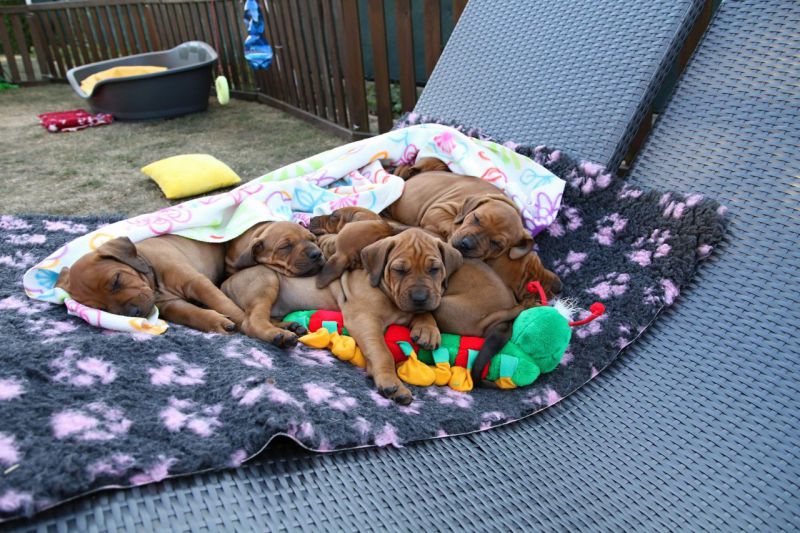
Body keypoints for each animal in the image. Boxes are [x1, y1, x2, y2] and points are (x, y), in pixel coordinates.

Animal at [55, 235, 245, 333]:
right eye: (103, 309)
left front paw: (243, 320)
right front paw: (215, 322)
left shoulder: (195, 282)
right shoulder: (171, 305)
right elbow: (192, 314)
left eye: (116, 281)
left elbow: (222, 303)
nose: (134, 313)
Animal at [221, 228, 463, 404]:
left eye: (434, 269)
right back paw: (279, 336)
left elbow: (424, 313)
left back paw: (291, 326)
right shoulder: (363, 319)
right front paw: (389, 381)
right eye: (399, 270)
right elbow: (382, 351)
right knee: (252, 321)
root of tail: (225, 283)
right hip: (266, 280)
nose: (420, 297)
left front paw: (427, 329)